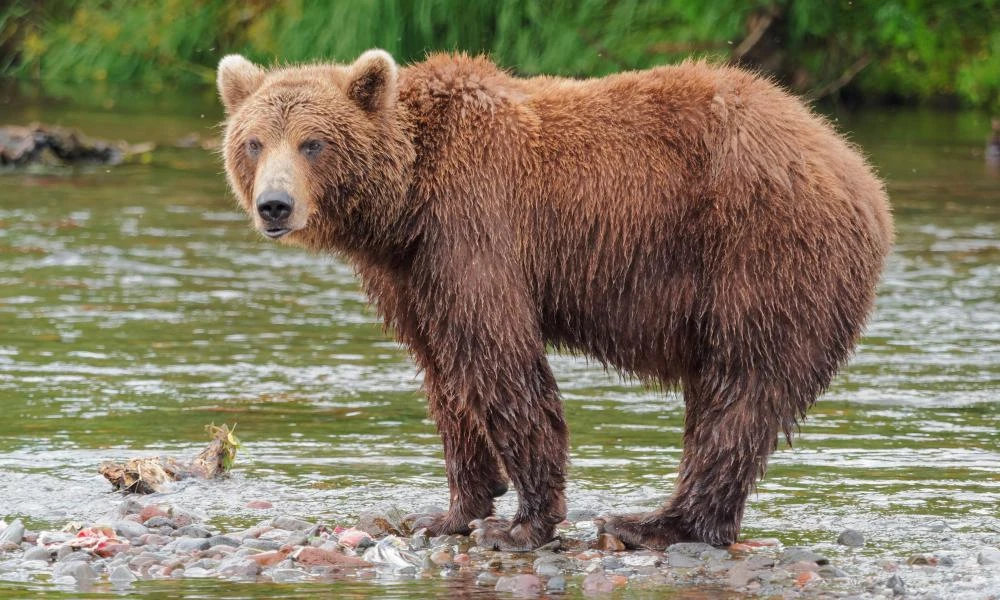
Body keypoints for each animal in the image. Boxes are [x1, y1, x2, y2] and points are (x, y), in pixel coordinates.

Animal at [217, 49, 892, 552]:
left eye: (312, 143)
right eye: (254, 142)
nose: (274, 205)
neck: (404, 204)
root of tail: (858, 171)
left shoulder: (474, 227)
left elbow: (500, 360)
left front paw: (522, 524)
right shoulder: (411, 275)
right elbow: (444, 373)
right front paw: (451, 510)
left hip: (763, 254)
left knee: (740, 391)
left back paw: (654, 523)